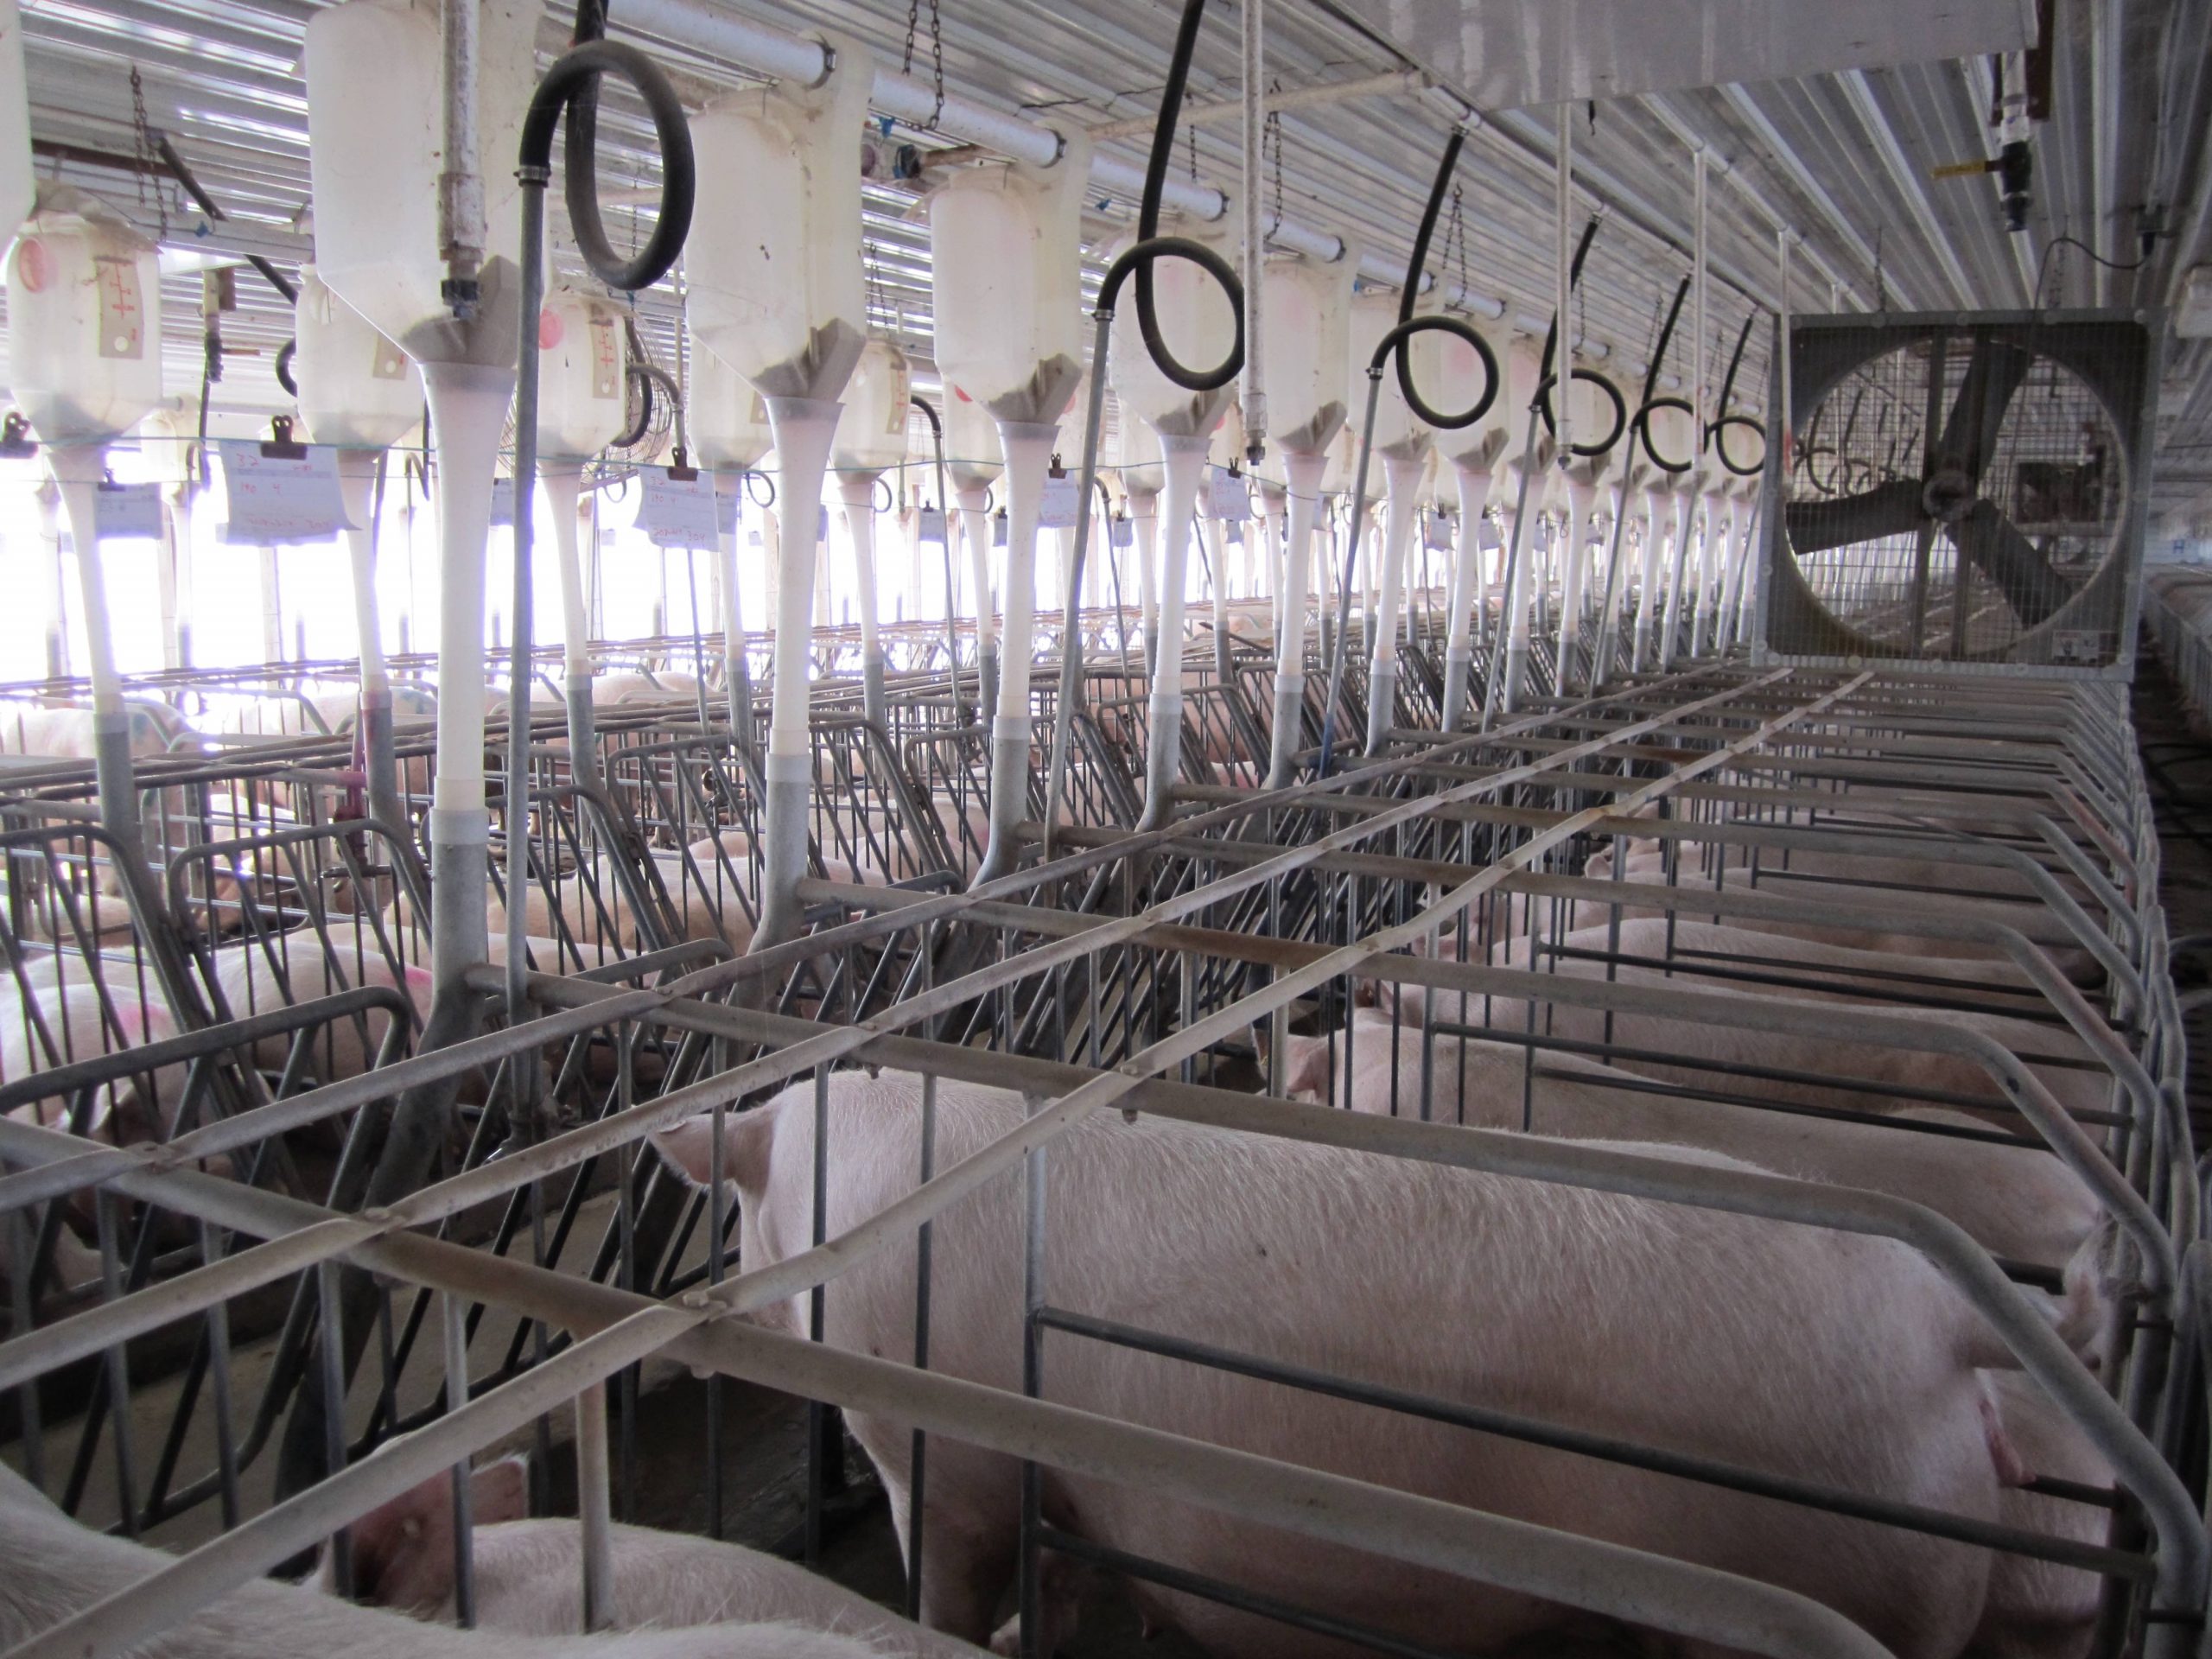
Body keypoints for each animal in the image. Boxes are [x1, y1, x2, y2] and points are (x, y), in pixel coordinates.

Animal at [654, 1071, 2035, 1659]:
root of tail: (1948, 1331)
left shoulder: (945, 1454)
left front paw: (968, 1636)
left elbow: (943, 1588)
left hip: (1821, 1577)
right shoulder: (1072, 1483)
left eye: (733, 1213)